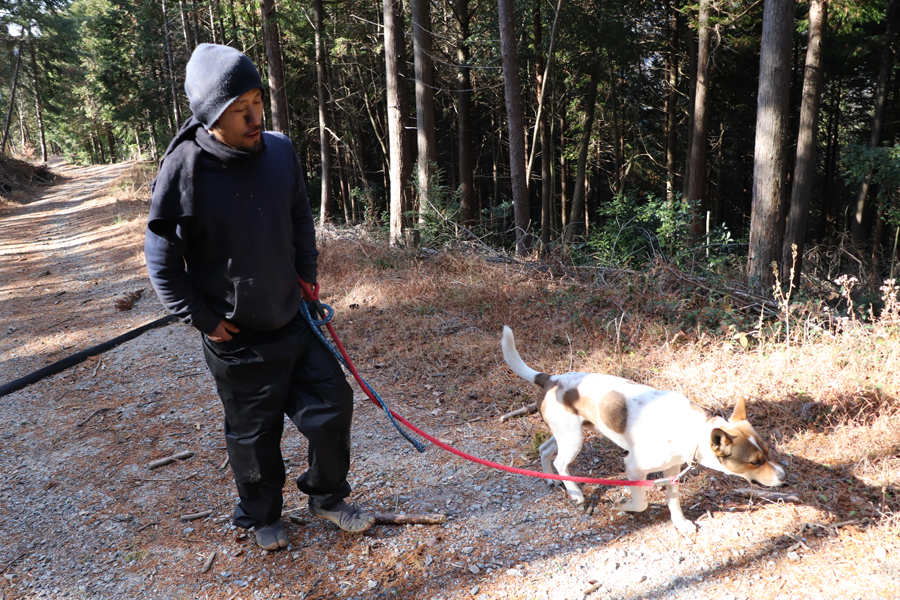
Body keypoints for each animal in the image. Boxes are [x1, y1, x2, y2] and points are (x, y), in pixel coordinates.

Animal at [502, 328, 784, 536]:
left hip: (569, 432)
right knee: (561, 462)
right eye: (754, 462)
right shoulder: (634, 468)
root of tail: (551, 379)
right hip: (573, 440)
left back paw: (551, 479)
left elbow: (673, 501)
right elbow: (642, 502)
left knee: (544, 449)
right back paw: (575, 493)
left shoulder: (672, 470)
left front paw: (680, 524)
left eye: (768, 451)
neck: (694, 429)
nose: (783, 476)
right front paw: (624, 506)